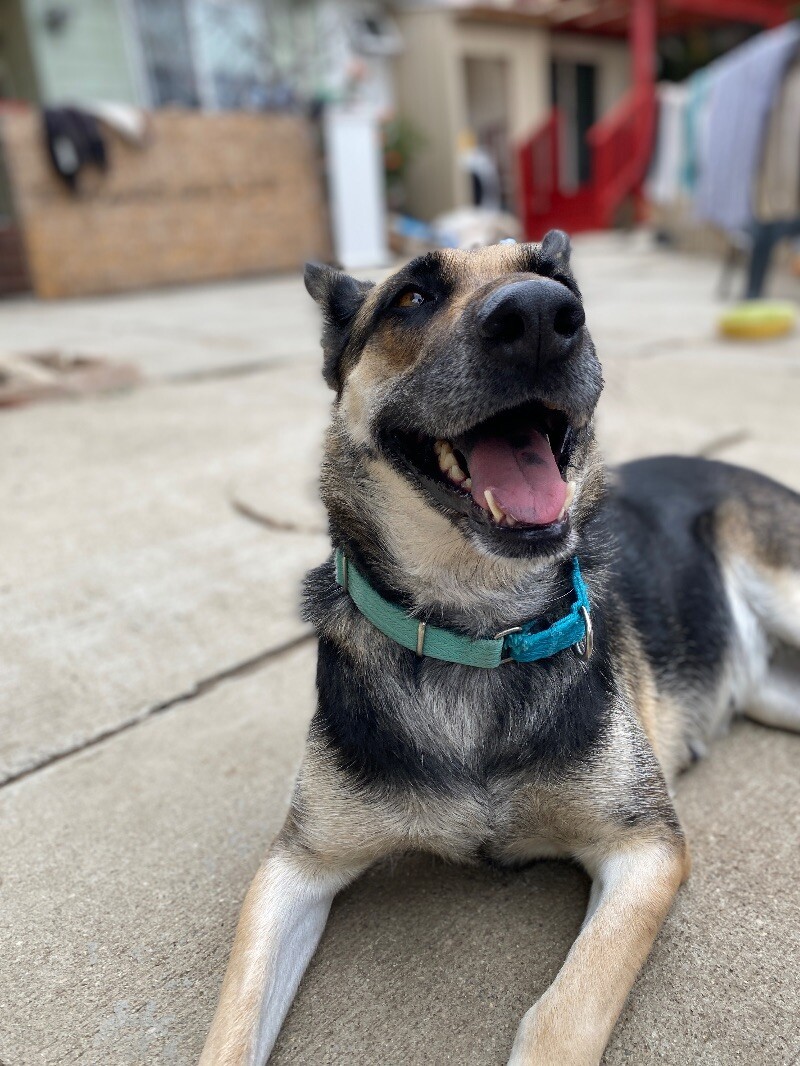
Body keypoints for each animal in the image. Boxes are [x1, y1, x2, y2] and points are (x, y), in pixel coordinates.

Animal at [200, 235, 800, 1066]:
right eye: (411, 297)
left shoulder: (645, 850)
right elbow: (230, 1032)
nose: (544, 318)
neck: (481, 628)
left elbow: (560, 1015)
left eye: (554, 282)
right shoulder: (295, 868)